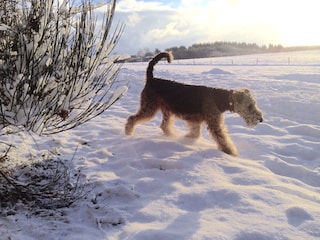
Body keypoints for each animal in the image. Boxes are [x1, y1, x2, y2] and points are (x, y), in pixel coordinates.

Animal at [124, 51, 262, 156]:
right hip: (149, 107)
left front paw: (187, 139)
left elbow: (195, 133)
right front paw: (232, 153)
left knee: (164, 125)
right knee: (132, 118)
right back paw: (128, 133)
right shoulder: (214, 124)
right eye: (250, 105)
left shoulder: (195, 121)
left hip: (167, 110)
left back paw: (172, 136)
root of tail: (151, 78)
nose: (260, 119)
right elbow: (223, 139)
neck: (220, 99)